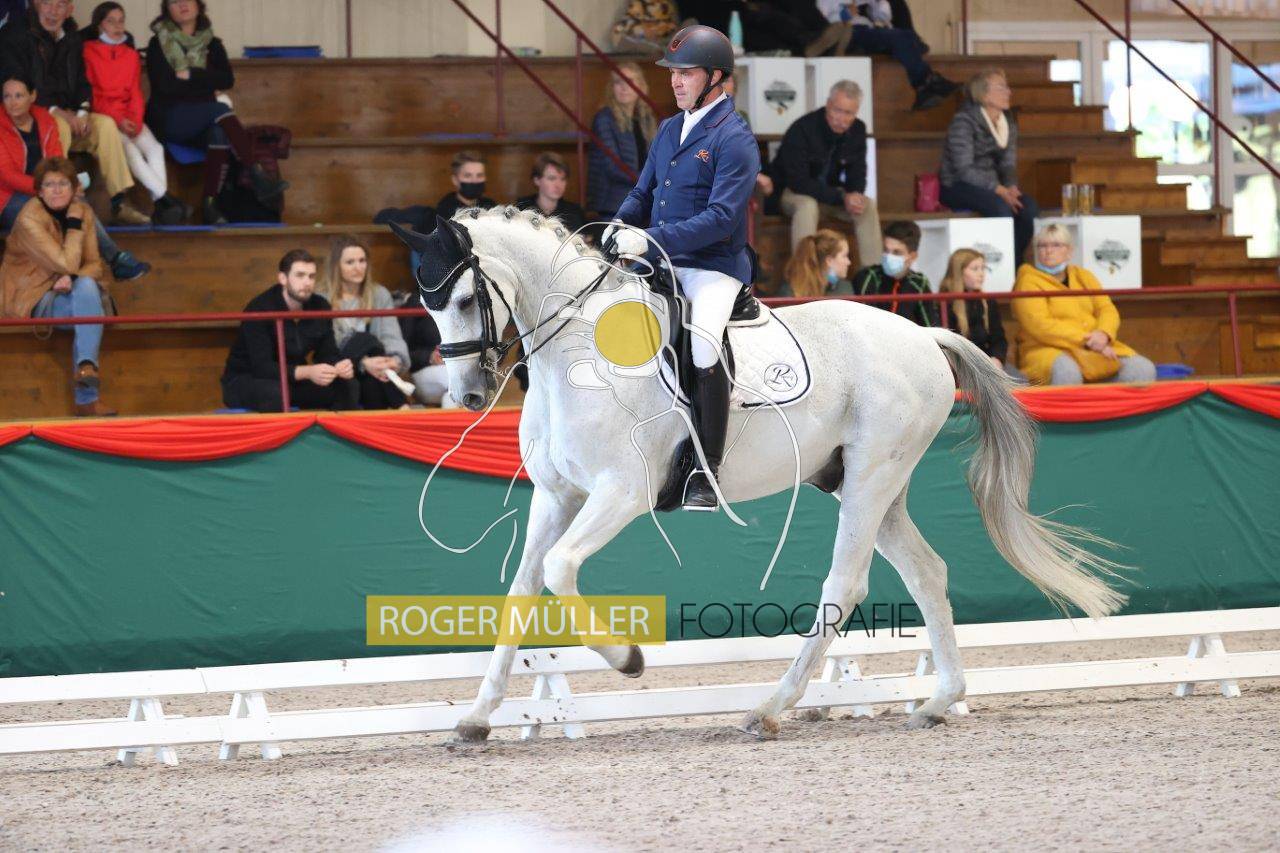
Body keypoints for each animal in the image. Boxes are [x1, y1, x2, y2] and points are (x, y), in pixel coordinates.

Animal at [391, 206, 1125, 742]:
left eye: (464, 297)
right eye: (425, 304)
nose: (467, 396)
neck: (577, 353)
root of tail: (923, 335)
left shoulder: (621, 493)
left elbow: (559, 569)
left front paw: (628, 659)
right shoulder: (556, 495)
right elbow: (520, 590)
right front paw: (476, 717)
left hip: (871, 478)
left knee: (847, 582)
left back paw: (770, 708)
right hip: (871, 483)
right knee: (927, 573)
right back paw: (940, 701)